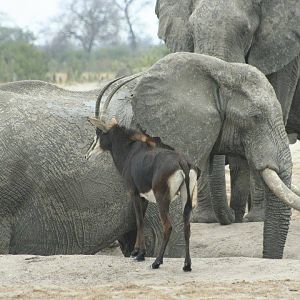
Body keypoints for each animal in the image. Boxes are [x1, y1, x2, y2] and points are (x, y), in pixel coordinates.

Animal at [85, 75, 200, 272]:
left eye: (98, 132)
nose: (88, 154)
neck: (130, 150)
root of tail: (183, 162)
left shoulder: (134, 192)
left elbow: (138, 220)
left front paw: (139, 254)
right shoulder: (145, 196)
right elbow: (142, 220)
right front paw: (139, 252)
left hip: (163, 198)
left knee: (168, 226)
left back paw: (157, 262)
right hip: (187, 197)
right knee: (187, 226)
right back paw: (186, 265)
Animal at [155, 0, 300, 223]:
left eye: (245, 31)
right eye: (192, 31)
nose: (229, 217)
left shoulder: (285, 55)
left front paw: (256, 218)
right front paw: (204, 219)